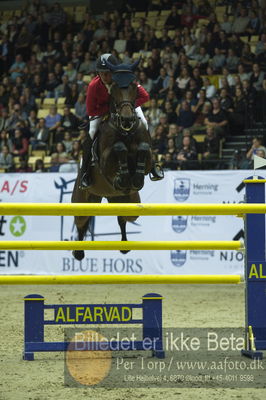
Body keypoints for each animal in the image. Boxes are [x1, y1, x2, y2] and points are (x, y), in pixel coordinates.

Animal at [71, 58, 153, 260]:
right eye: (114, 88)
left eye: (134, 85)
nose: (127, 119)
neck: (126, 132)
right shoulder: (105, 163)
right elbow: (118, 148)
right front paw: (123, 175)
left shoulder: (147, 157)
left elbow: (143, 148)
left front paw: (135, 177)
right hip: (82, 200)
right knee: (81, 222)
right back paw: (78, 252)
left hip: (128, 201)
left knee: (123, 218)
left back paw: (123, 245)